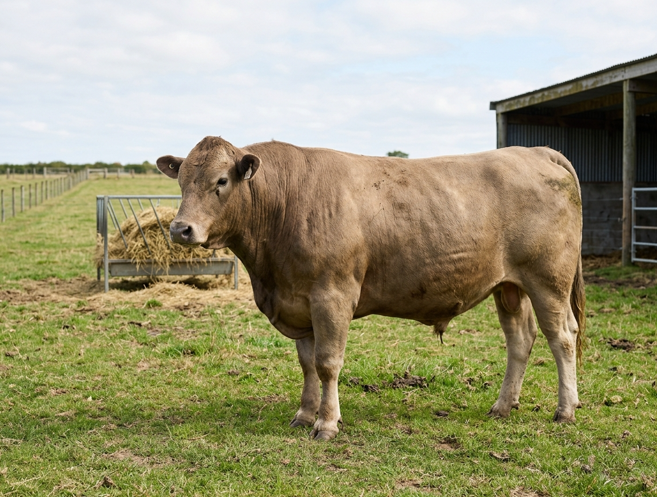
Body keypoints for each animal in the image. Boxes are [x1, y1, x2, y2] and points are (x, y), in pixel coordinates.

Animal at [157, 137, 586, 441]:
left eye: (221, 181)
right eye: (181, 180)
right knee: (520, 339)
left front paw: (327, 424)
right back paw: (503, 405)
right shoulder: (299, 300)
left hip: (548, 280)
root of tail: (537, 151)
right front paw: (304, 415)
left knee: (562, 337)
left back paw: (565, 410)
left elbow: (328, 363)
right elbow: (307, 364)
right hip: (509, 286)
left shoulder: (332, 296)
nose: (180, 229)